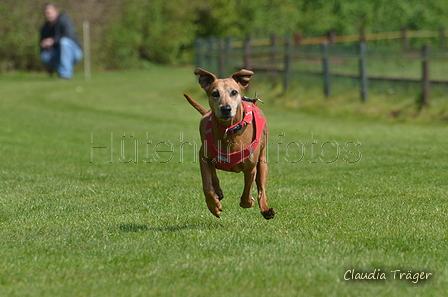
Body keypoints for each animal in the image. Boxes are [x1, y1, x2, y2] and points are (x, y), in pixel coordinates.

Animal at [183, 68, 274, 219]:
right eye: (215, 93)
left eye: (234, 92)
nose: (226, 108)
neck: (230, 130)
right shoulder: (203, 156)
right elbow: (207, 185)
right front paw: (214, 206)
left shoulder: (250, 168)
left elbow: (247, 195)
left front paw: (250, 201)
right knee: (213, 172)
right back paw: (218, 192)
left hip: (262, 162)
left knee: (261, 188)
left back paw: (266, 209)